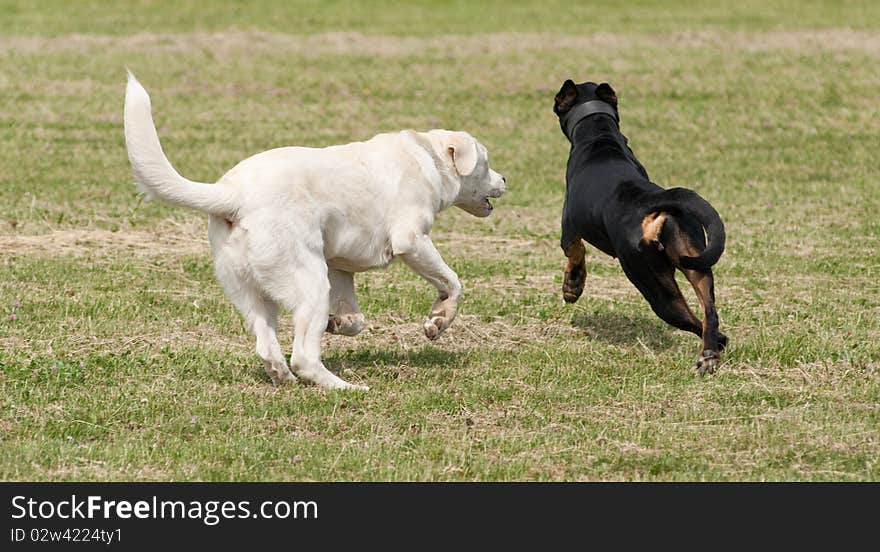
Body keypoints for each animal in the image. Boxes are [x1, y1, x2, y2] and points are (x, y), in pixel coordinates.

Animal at [124, 72, 508, 392]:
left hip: (252, 293)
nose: (506, 179)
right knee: (304, 358)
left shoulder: (339, 264)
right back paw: (346, 387)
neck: (427, 158)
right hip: (308, 281)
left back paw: (283, 375)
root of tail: (233, 194)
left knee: (268, 345)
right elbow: (452, 283)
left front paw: (337, 323)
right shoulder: (411, 241)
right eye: (487, 162)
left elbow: (356, 320)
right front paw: (438, 321)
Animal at [552, 78, 728, 376]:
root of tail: (651, 202)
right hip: (696, 263)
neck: (600, 136)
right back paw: (710, 354)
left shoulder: (569, 230)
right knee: (709, 312)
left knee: (693, 320)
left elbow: (575, 254)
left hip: (651, 285)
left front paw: (572, 286)